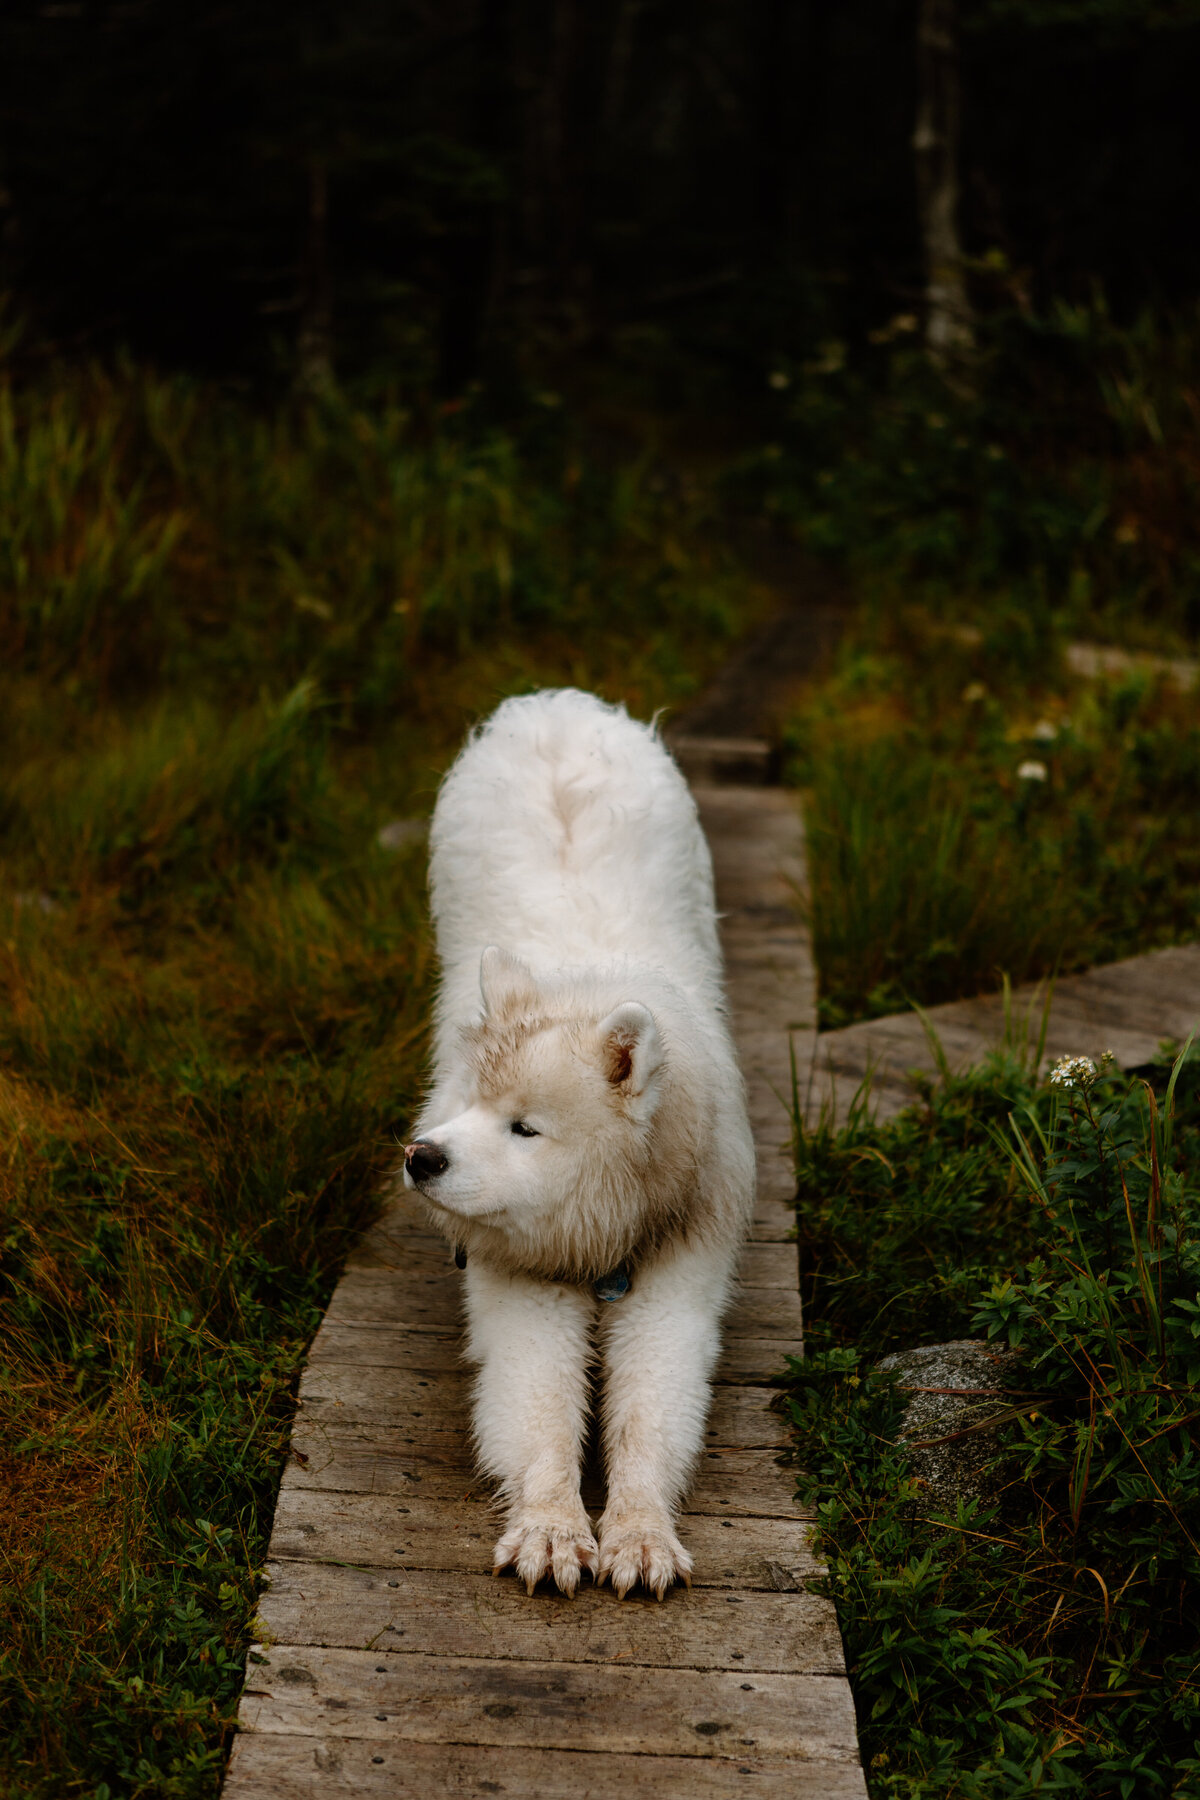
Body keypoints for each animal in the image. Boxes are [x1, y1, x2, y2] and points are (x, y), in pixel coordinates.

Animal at [408, 684, 755, 1591]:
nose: (422, 1158)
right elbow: (535, 1400)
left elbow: (651, 1402)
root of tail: (555, 704)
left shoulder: (683, 1251)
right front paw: (552, 1531)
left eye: (525, 1126)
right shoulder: (522, 1270)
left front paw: (639, 1535)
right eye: (467, 1104)